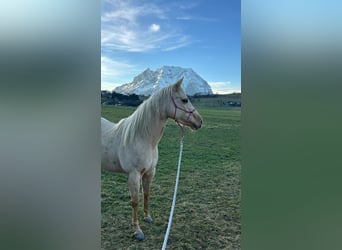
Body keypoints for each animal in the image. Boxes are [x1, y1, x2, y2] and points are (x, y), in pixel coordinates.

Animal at [101, 78, 203, 240]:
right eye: (184, 100)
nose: (200, 121)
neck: (143, 138)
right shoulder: (134, 174)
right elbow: (135, 201)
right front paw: (137, 230)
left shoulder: (149, 172)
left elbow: (147, 194)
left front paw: (147, 217)